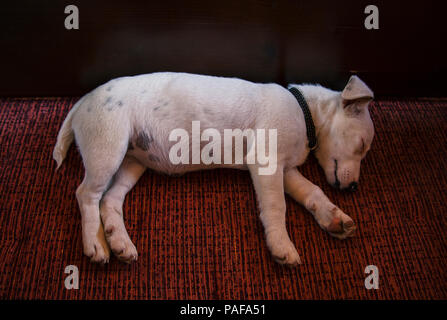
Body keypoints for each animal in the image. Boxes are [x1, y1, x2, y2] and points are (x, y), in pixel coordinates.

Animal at [53, 72, 374, 264]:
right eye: (361, 145)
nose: (354, 187)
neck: (303, 110)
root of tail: (83, 100)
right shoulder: (266, 161)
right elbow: (276, 207)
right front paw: (281, 245)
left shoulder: (285, 171)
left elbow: (313, 191)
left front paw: (334, 217)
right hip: (108, 148)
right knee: (86, 195)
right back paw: (94, 243)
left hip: (132, 163)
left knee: (110, 199)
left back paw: (119, 241)